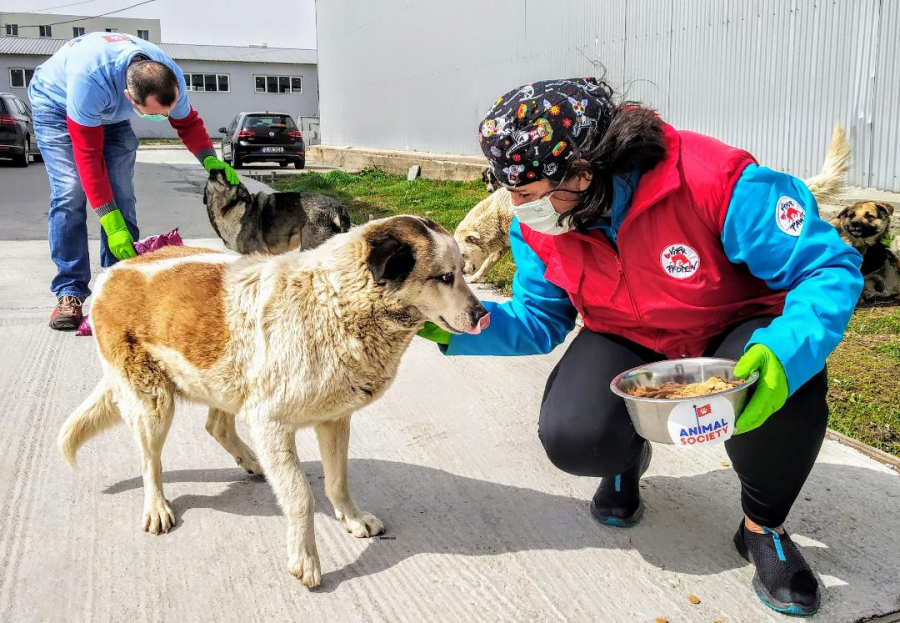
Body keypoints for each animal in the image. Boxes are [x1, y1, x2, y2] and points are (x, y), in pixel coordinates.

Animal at [58, 216, 486, 588]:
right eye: (444, 277)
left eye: (463, 271)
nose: (483, 315)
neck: (336, 301)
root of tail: (117, 270)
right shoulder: (271, 423)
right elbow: (300, 496)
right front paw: (305, 559)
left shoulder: (334, 420)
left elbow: (338, 481)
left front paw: (351, 519)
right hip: (154, 403)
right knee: (151, 462)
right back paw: (157, 507)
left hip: (228, 379)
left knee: (216, 425)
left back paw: (252, 462)